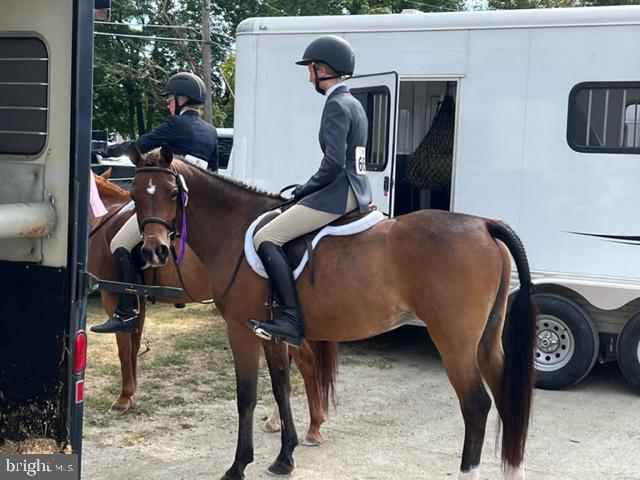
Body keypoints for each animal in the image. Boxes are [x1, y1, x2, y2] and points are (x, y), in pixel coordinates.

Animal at [87, 170, 335, 446]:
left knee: (305, 360)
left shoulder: (113, 294)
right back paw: (286, 421)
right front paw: (130, 394)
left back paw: (313, 426)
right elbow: (133, 346)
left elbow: (123, 348)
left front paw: (123, 399)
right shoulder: (136, 299)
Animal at [128, 144, 537, 480]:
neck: (235, 227)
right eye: (134, 194)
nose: (154, 251)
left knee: (477, 405)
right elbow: (281, 388)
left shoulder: (240, 330)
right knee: (506, 398)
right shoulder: (272, 333)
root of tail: (484, 225)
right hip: (486, 342)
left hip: (453, 343)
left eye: (172, 193)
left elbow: (246, 396)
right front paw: (284, 458)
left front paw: (238, 465)